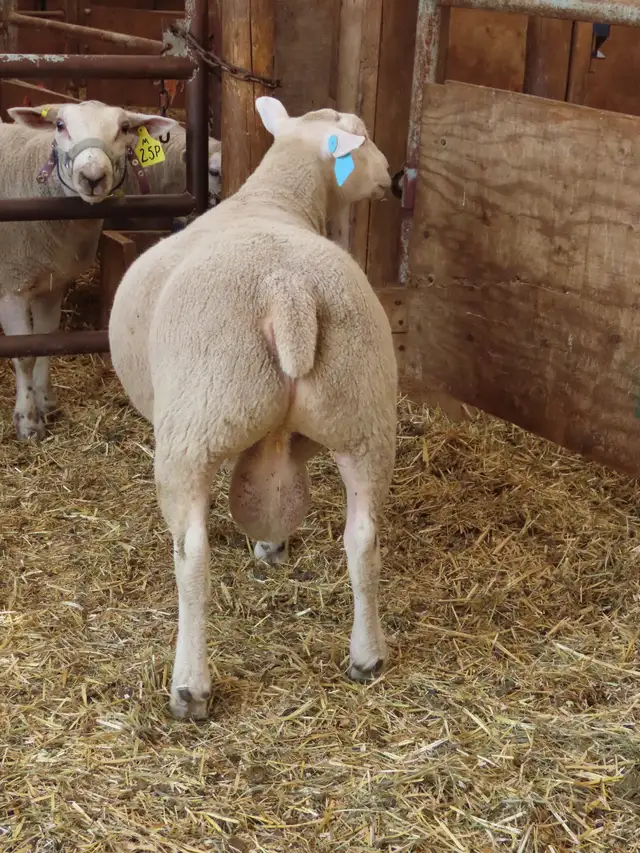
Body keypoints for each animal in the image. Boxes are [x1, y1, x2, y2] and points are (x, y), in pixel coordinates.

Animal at [0, 100, 178, 440]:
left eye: (124, 128)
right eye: (59, 125)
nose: (92, 176)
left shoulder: (53, 281)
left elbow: (46, 340)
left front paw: (46, 403)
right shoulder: (11, 285)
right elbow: (24, 353)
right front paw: (28, 421)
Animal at [108, 96, 397, 720]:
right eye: (362, 138)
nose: (393, 177)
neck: (274, 200)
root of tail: (288, 292)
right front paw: (271, 545)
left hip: (195, 425)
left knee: (191, 555)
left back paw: (189, 689)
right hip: (363, 414)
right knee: (364, 538)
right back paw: (367, 657)